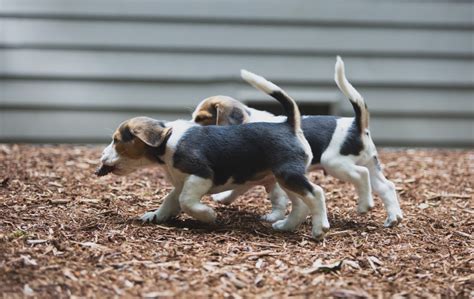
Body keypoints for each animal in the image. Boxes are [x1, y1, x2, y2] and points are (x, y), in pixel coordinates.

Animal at [98, 69, 332, 239]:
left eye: (116, 140)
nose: (101, 159)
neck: (167, 141)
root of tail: (289, 125)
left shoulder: (200, 176)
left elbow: (186, 202)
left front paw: (208, 216)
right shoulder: (183, 182)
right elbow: (170, 200)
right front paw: (155, 216)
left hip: (288, 174)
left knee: (316, 193)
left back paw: (319, 228)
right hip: (283, 178)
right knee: (301, 204)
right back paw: (285, 226)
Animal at [193, 56, 404, 229]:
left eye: (201, 118)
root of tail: (357, 124)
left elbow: (247, 191)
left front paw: (223, 199)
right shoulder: (268, 177)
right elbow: (271, 196)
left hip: (335, 163)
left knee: (362, 175)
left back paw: (364, 205)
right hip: (370, 163)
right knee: (386, 186)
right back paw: (393, 218)